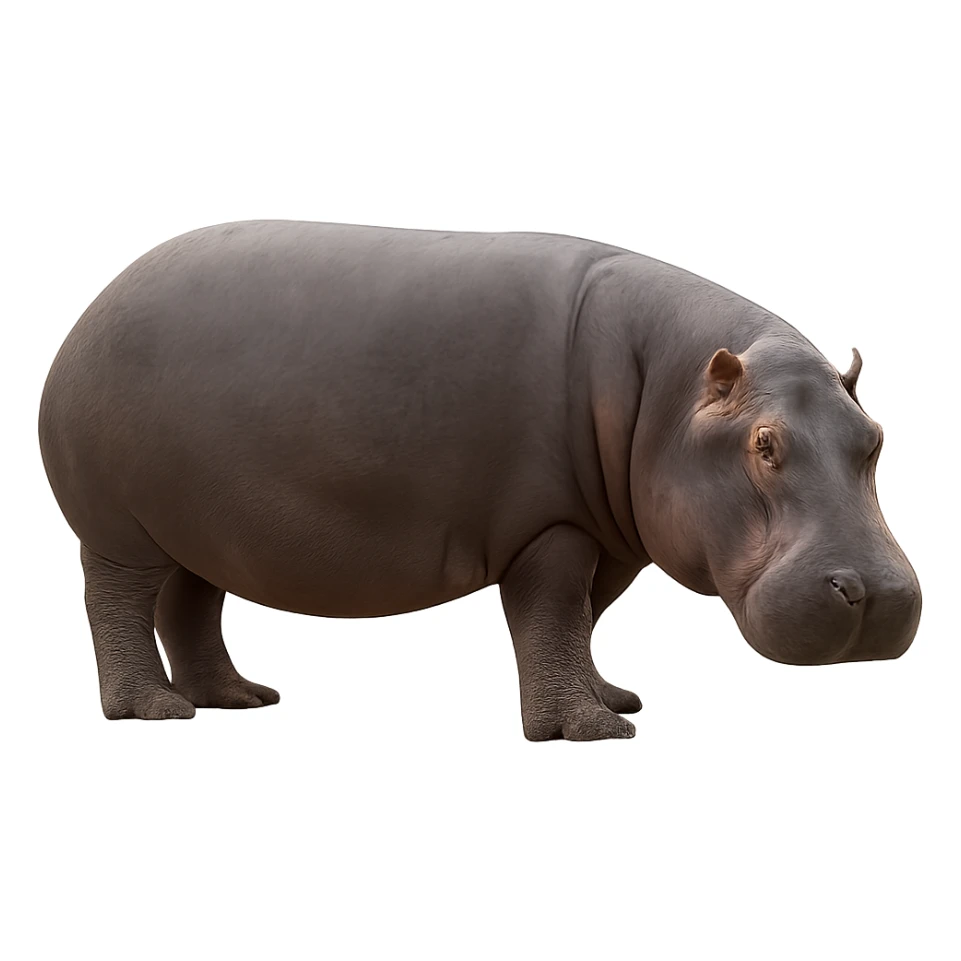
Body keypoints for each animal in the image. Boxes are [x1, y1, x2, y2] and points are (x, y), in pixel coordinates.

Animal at [39, 221, 922, 740]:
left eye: (875, 438)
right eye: (764, 444)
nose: (876, 593)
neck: (669, 389)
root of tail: (87, 309)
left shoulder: (603, 537)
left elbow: (578, 622)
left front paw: (613, 700)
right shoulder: (551, 528)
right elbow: (551, 617)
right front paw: (590, 731)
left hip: (198, 528)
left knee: (190, 604)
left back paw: (237, 699)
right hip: (119, 529)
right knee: (114, 604)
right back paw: (153, 710)